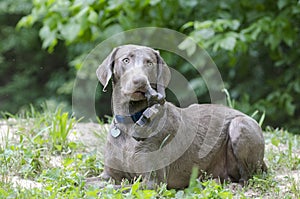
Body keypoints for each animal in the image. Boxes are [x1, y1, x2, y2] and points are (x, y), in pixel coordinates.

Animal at [96, 44, 268, 189]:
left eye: (149, 63)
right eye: (126, 60)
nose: (140, 81)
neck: (130, 121)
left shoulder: (152, 181)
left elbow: (116, 187)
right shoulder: (109, 175)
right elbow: (94, 183)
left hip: (239, 125)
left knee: (248, 177)